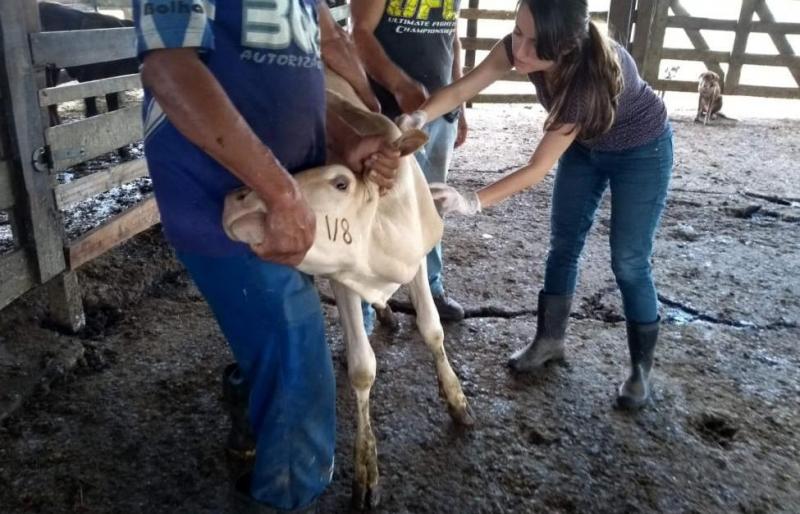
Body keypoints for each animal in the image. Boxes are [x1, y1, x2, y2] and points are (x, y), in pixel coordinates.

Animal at [222, 70, 472, 510]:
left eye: (340, 182)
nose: (237, 198)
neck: (381, 240)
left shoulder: (416, 261)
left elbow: (432, 329)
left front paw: (457, 399)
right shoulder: (343, 281)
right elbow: (362, 367)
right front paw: (366, 470)